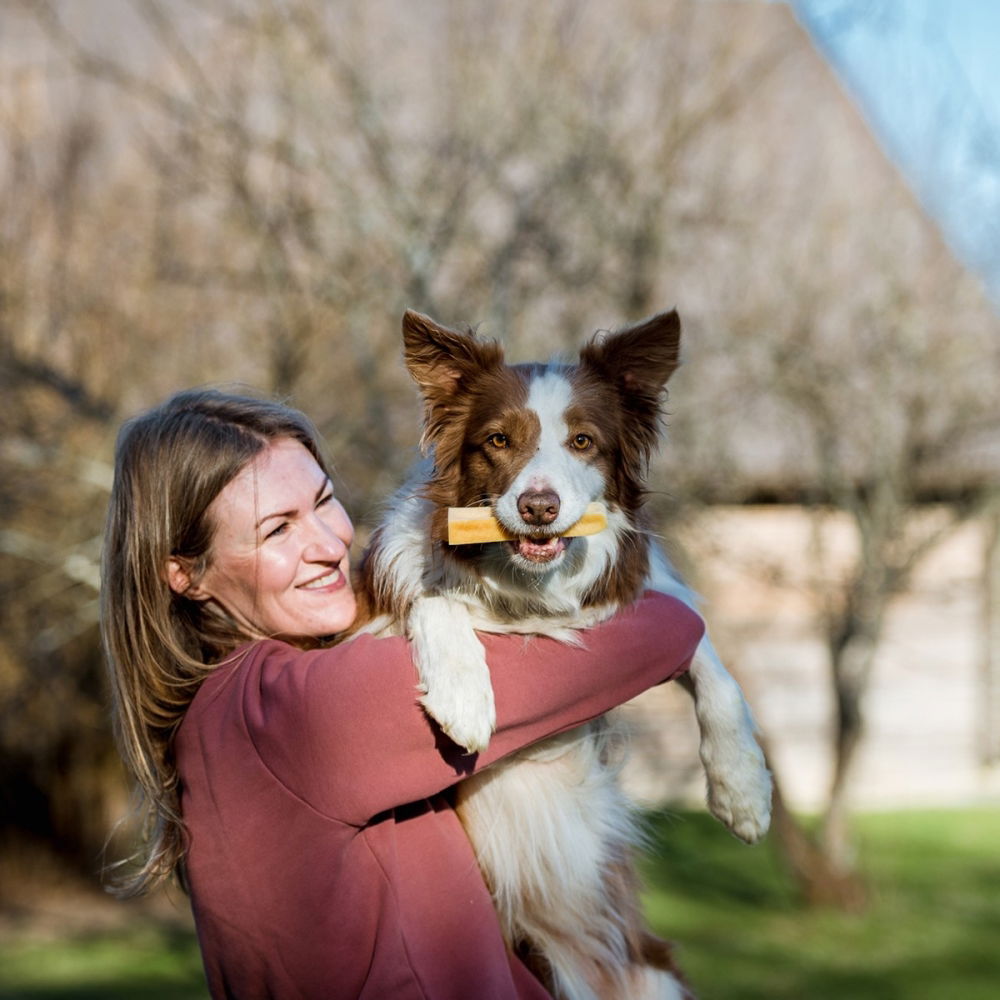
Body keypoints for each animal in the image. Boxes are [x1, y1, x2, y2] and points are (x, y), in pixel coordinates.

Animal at [360, 308, 772, 996]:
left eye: (583, 442)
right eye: (498, 440)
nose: (538, 506)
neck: (528, 595)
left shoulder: (650, 599)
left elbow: (713, 665)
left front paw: (742, 789)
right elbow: (434, 599)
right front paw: (465, 696)